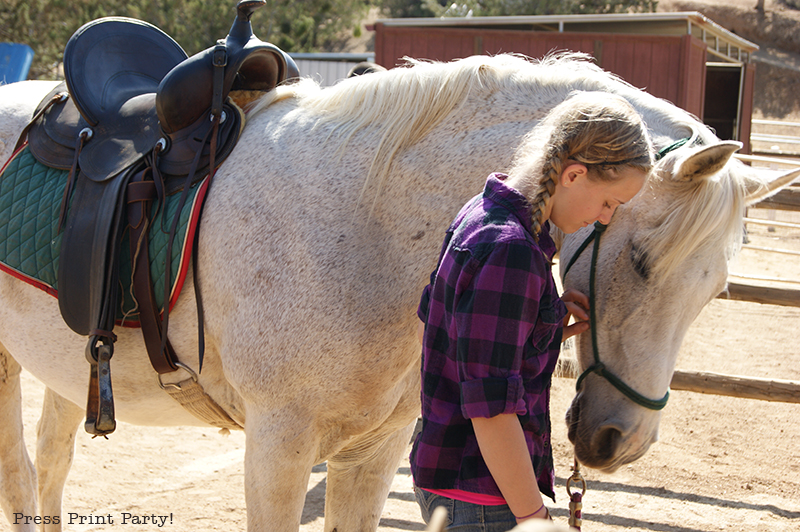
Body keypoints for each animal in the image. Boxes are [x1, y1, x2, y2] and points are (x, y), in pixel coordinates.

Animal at [0, 55, 796, 532]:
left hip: (69, 368)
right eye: (639, 260)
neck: (365, 224)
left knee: (50, 463)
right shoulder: (278, 450)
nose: (620, 441)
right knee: (20, 476)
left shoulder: (372, 453)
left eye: (716, 289)